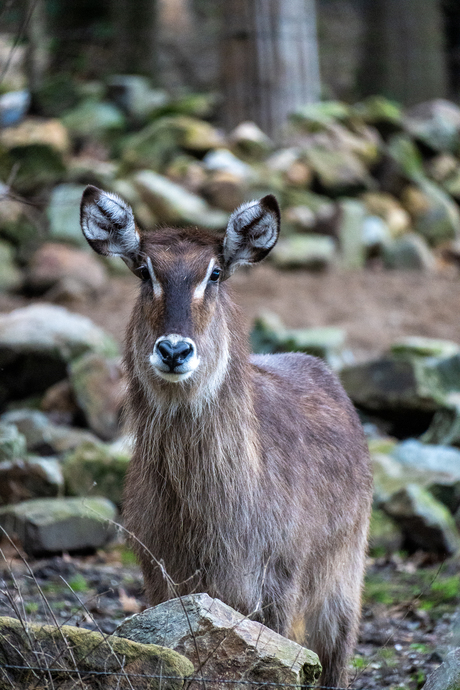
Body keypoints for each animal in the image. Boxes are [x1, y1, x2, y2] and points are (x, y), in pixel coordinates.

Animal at [81, 183, 372, 684]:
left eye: (214, 273)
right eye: (144, 270)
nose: (174, 350)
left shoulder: (277, 585)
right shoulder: (163, 580)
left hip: (341, 583)